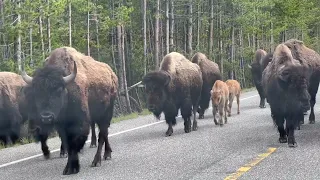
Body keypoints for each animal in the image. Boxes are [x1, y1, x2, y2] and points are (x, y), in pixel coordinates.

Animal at [21, 47, 119, 175]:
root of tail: (112, 74)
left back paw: (97, 161)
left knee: (102, 135)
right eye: (37, 93)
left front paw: (72, 168)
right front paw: (68, 168)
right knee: (104, 133)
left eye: (59, 90)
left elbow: (74, 143)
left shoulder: (80, 124)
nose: (46, 117)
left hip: (106, 113)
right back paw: (107, 154)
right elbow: (67, 143)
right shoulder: (61, 127)